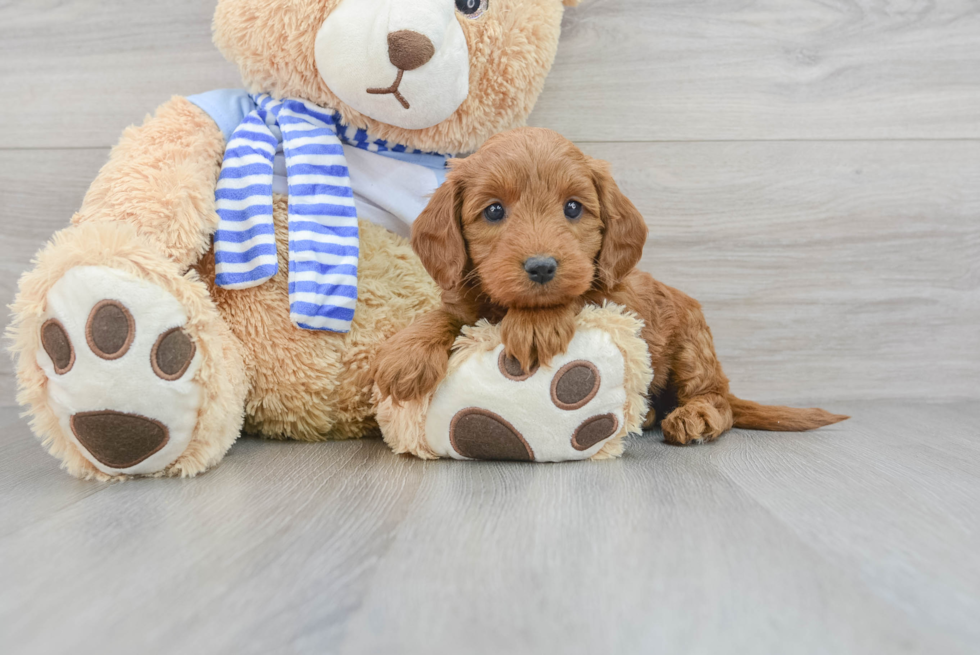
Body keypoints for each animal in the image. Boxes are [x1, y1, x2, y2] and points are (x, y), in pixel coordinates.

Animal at [372, 127, 848, 446]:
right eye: (493, 211)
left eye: (572, 208)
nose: (542, 267)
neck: (506, 304)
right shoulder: (469, 295)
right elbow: (448, 314)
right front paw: (406, 353)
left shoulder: (610, 292)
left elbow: (577, 294)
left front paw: (536, 323)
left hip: (693, 345)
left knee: (719, 400)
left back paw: (693, 416)